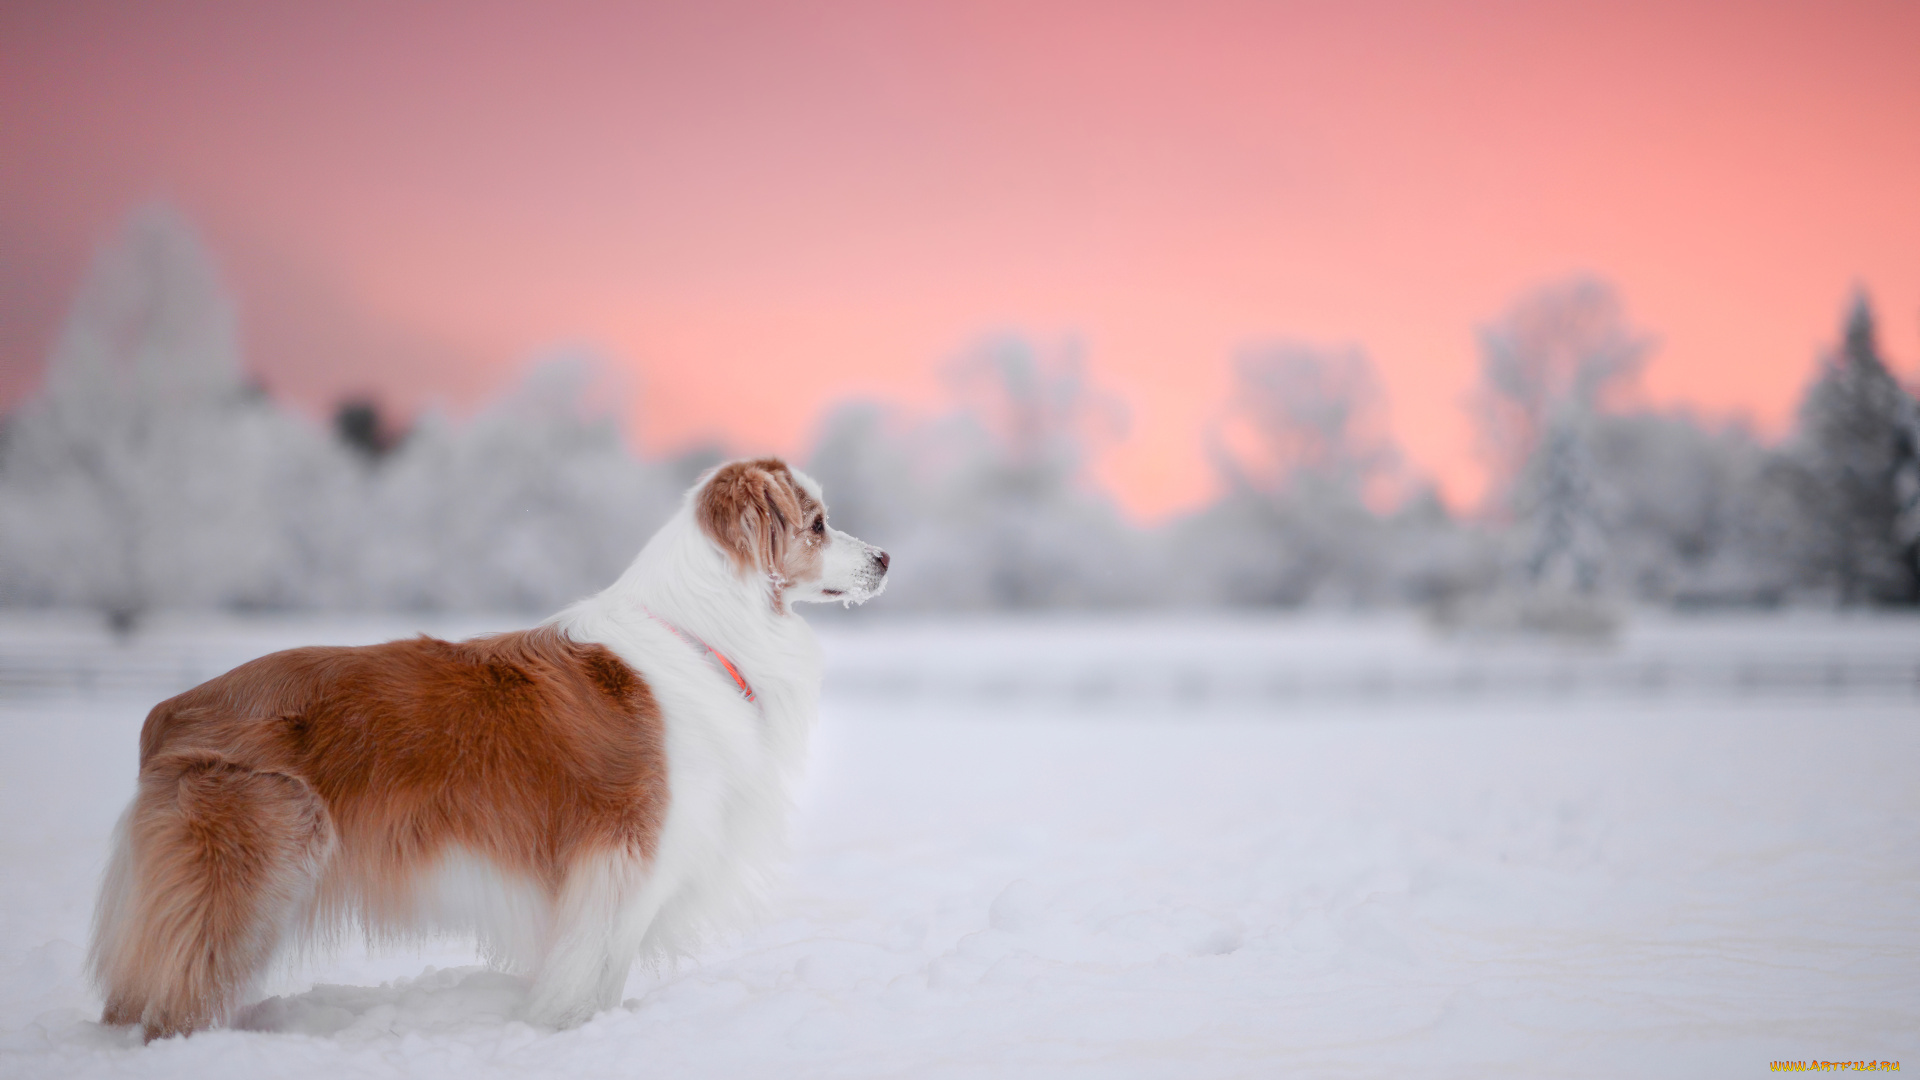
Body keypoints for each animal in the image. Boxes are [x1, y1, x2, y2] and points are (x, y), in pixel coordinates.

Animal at [90, 453, 890, 1037]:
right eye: (818, 524)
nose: (885, 556)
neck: (702, 630)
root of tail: (168, 709)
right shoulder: (629, 855)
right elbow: (598, 969)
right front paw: (575, 1031)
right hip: (256, 863)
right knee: (175, 994)